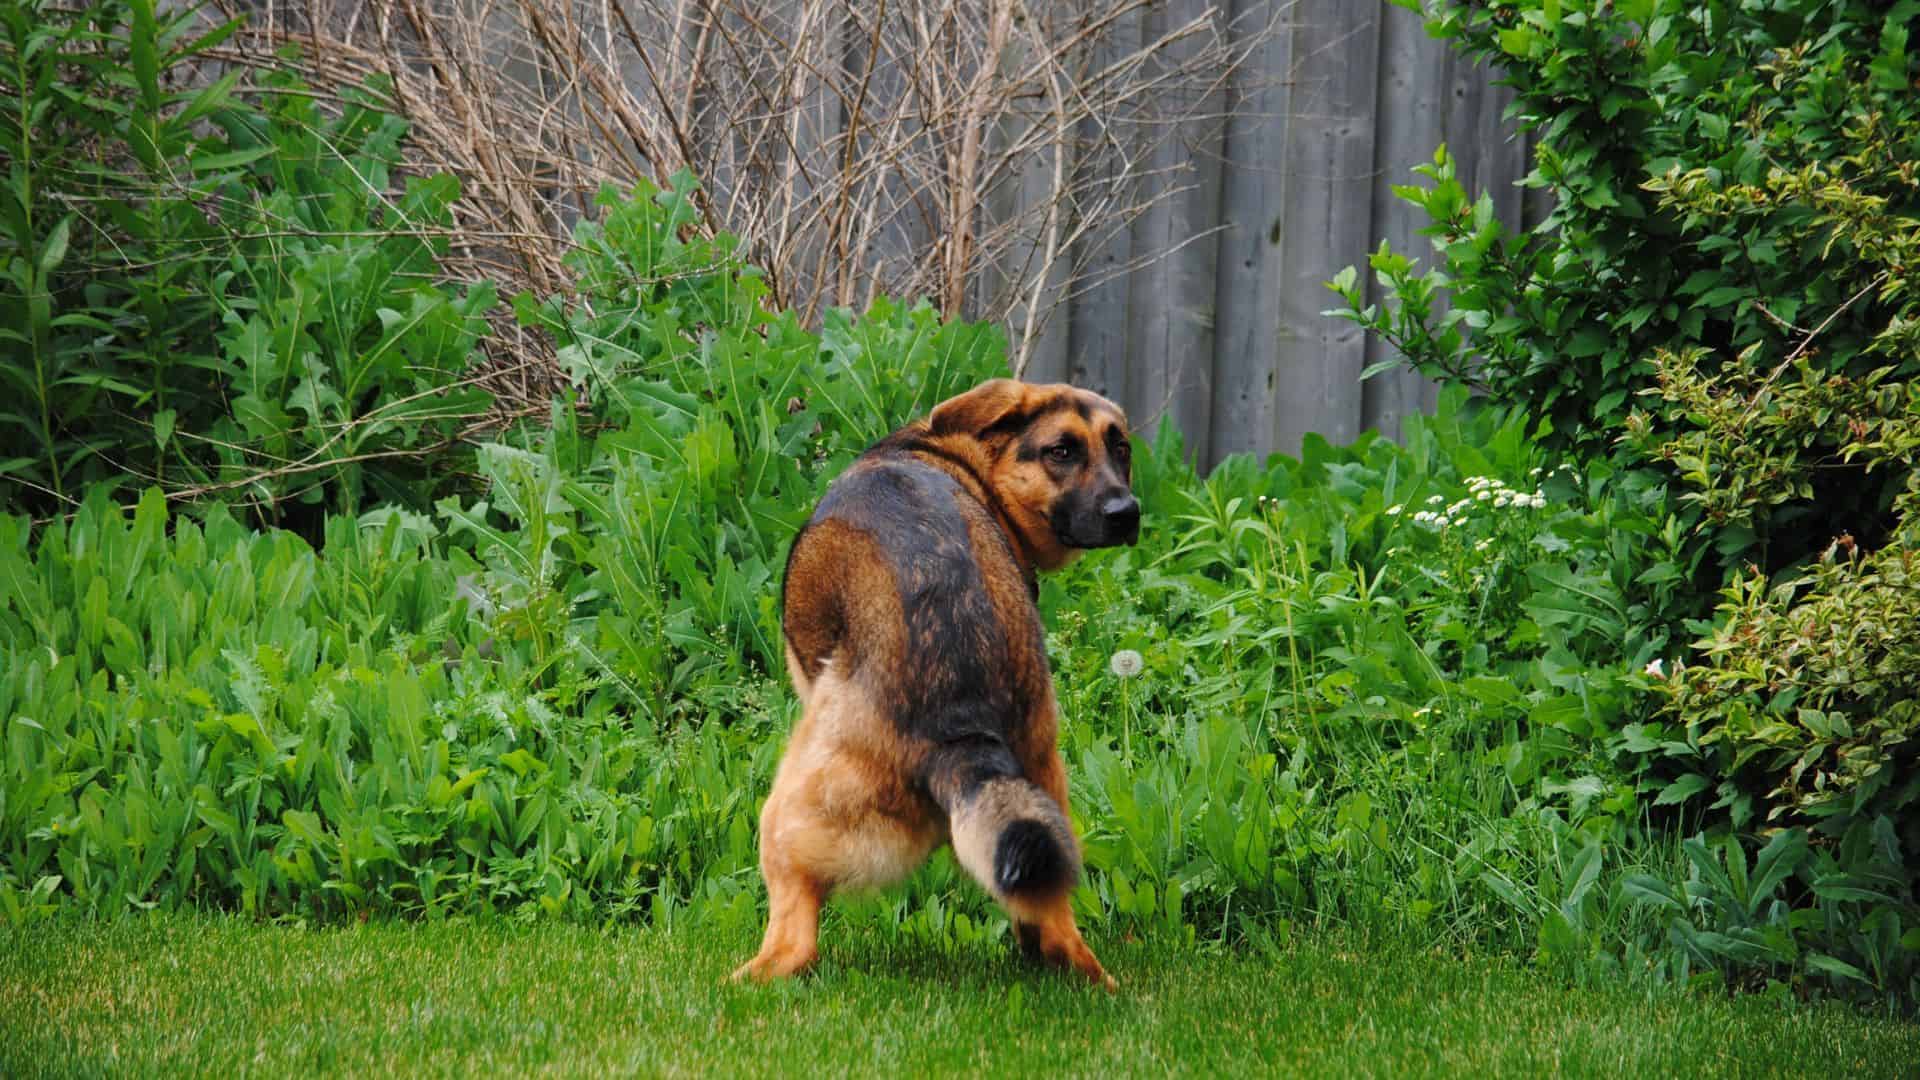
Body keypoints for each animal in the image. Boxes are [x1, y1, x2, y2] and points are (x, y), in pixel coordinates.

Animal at [725, 376, 1128, 983]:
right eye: (1062, 451)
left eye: (1117, 447)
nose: (1127, 511)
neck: (954, 456)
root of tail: (960, 719)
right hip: (1044, 791)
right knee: (1054, 921)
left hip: (786, 813)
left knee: (795, 944)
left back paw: (739, 981)